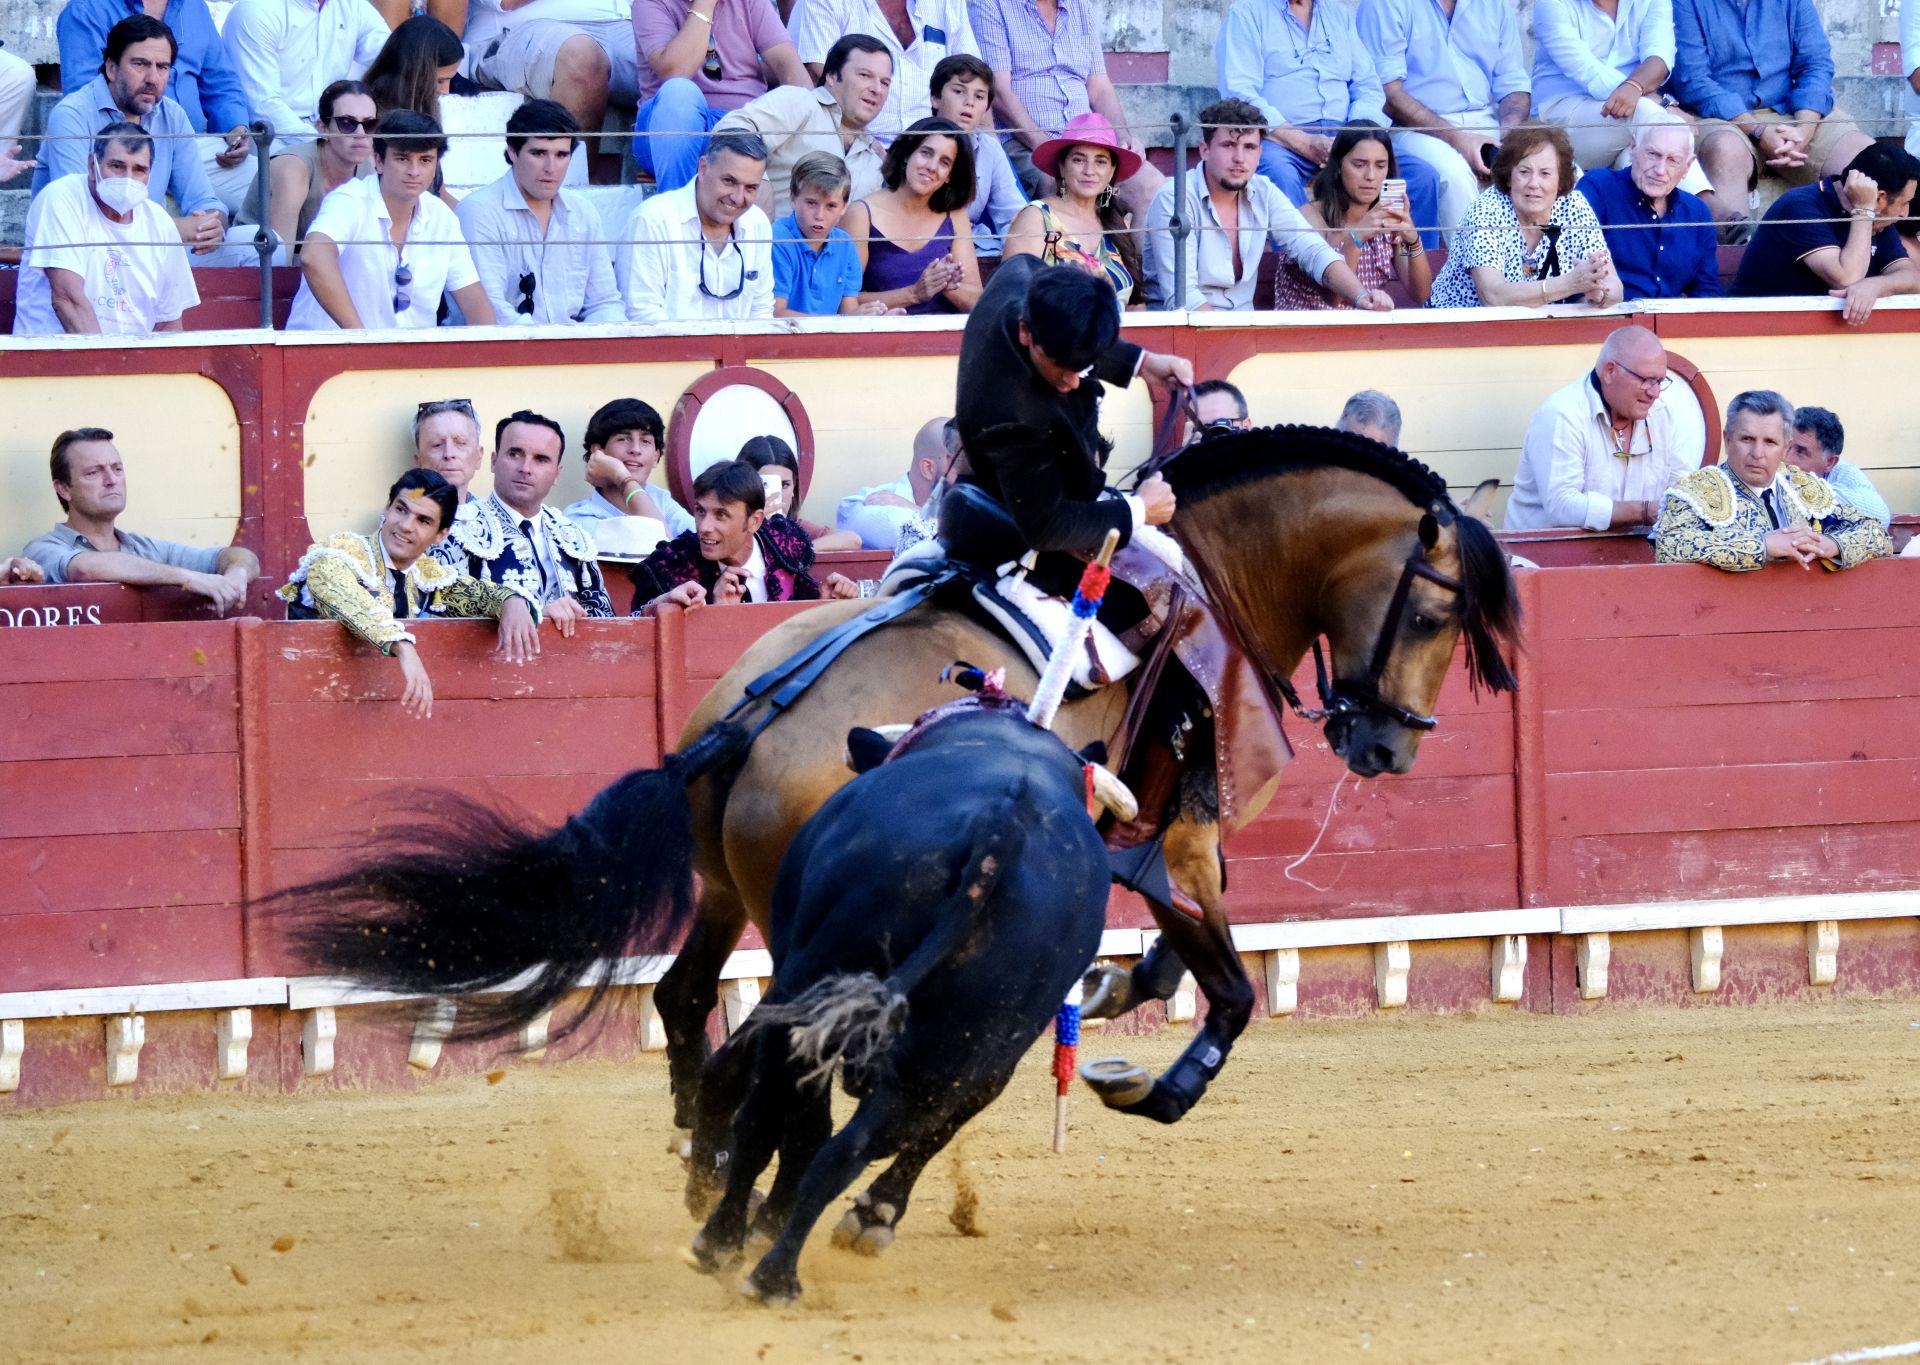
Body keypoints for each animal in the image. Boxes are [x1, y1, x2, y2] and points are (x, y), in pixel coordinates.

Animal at [278, 424, 1520, 1197]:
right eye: (1433, 615)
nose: (1390, 744)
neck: (1209, 574)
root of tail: (749, 722)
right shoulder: (1190, 838)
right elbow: (1229, 990)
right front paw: (1146, 1077)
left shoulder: (1154, 844)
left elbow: (1183, 958)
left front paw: (1115, 991)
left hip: (727, 889)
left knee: (687, 999)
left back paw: (702, 1152)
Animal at [687, 706, 1113, 1305]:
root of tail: (1000, 829)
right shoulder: (997, 1052)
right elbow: (938, 1122)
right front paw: (868, 1217)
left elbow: (792, 1119)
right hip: (962, 1038)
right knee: (861, 1142)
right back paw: (782, 1268)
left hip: (815, 980)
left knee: (768, 1115)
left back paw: (725, 1243)